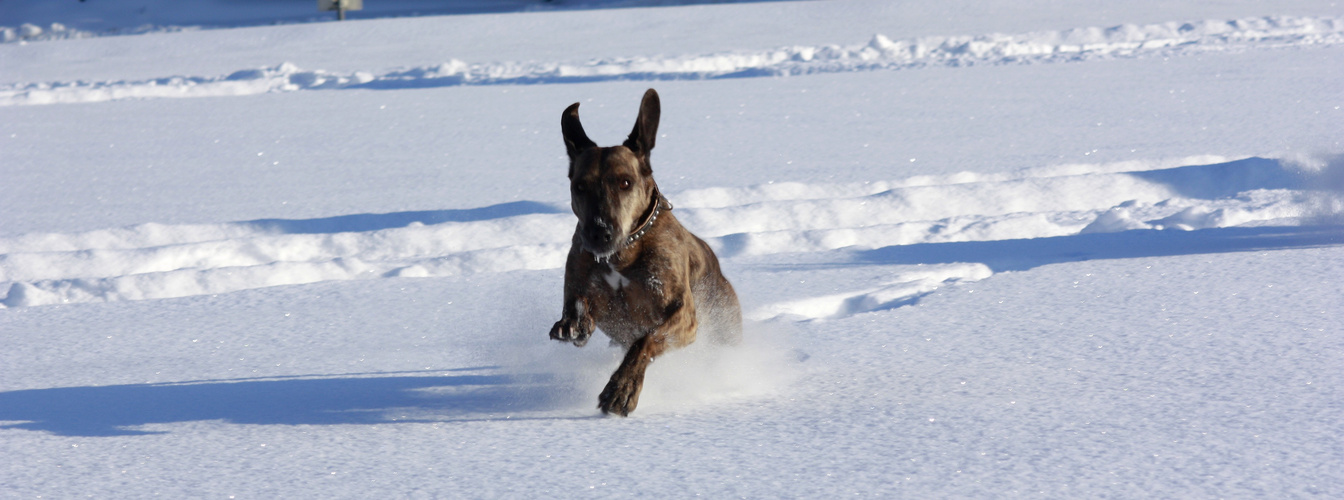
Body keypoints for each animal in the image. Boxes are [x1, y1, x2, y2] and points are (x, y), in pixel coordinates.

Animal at [551, 88, 752, 416]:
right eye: (580, 186)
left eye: (625, 182)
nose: (599, 232)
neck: (623, 252)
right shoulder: (581, 268)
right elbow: (578, 304)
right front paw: (574, 322)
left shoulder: (684, 317)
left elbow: (646, 340)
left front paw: (622, 389)